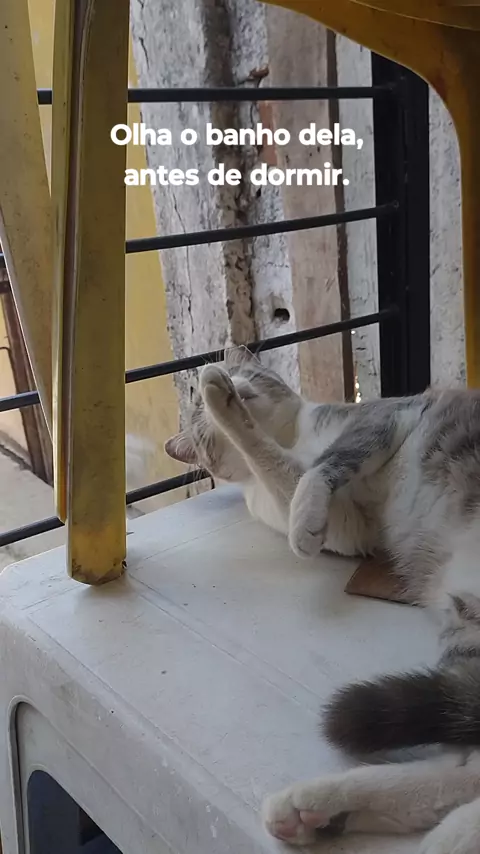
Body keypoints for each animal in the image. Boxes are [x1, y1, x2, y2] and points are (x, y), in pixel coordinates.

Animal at [164, 346, 480, 853]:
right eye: (191, 412)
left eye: (247, 369)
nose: (230, 380)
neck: (293, 437)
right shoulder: (348, 525)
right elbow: (287, 475)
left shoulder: (377, 418)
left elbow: (321, 464)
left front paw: (221, 395)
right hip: (466, 627)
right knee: (466, 771)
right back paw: (321, 810)